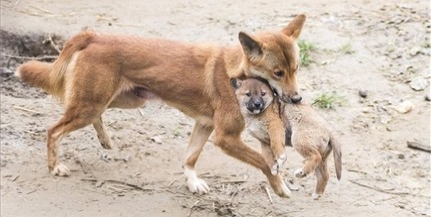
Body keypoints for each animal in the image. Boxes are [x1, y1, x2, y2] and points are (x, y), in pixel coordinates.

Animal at [16, 14, 308, 198]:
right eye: (278, 73)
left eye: (296, 69)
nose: (297, 99)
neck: (237, 72)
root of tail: (94, 36)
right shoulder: (225, 137)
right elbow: (263, 162)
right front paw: (279, 187)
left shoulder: (204, 125)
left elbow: (190, 158)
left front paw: (193, 183)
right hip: (91, 105)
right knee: (54, 130)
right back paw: (55, 166)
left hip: (121, 100)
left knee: (93, 116)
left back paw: (105, 141)